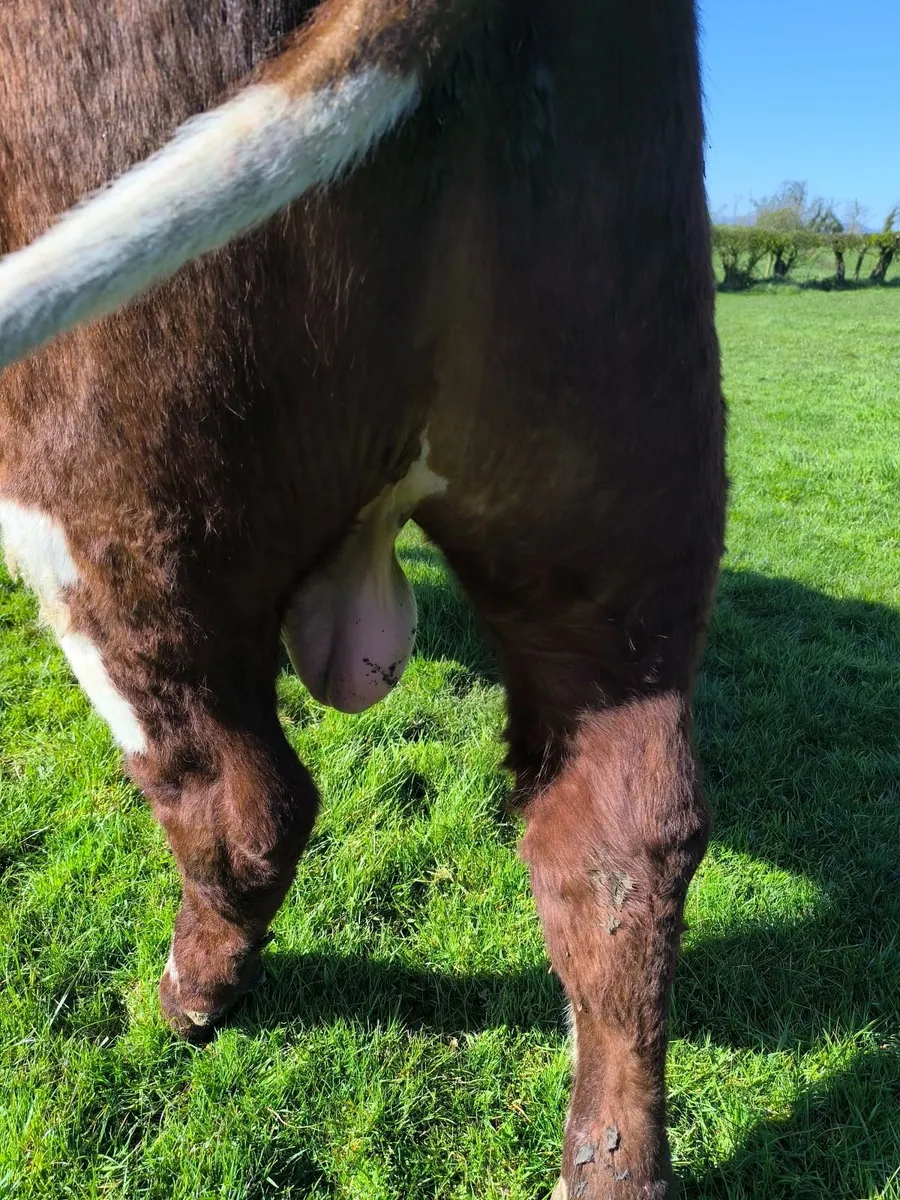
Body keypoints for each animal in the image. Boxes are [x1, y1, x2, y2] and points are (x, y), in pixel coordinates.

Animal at [0, 1, 726, 1195]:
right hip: (619, 498)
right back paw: (609, 1160)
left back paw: (190, 997)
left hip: (112, 489)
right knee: (622, 842)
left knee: (243, 800)